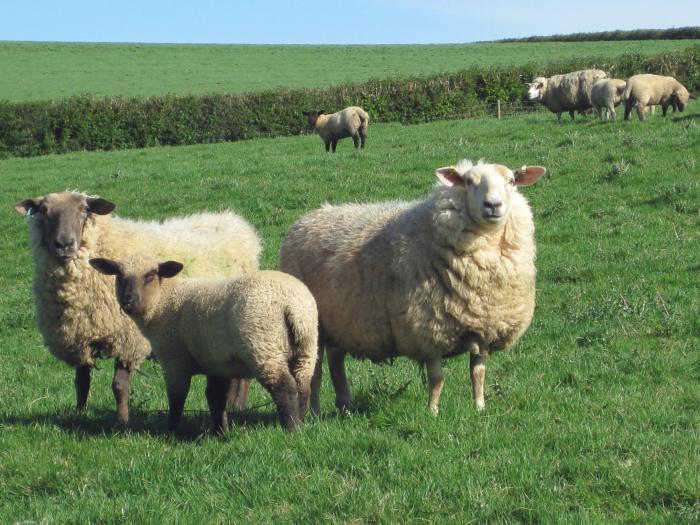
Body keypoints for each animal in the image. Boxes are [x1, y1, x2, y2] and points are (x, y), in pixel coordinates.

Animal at [15, 190, 262, 424]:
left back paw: (238, 406)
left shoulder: (128, 340)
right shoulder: (80, 336)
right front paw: (79, 413)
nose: (64, 244)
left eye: (84, 210)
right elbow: (81, 382)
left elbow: (119, 386)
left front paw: (123, 422)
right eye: (43, 211)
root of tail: (236, 223)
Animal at [89, 256, 318, 432]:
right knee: (303, 387)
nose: (128, 301)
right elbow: (215, 397)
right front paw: (219, 431)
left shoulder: (175, 359)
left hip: (263, 345)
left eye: (151, 275)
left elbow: (177, 396)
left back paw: (292, 428)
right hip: (306, 348)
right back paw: (301, 421)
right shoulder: (217, 362)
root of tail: (291, 304)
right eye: (119, 275)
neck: (165, 301)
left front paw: (172, 430)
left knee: (285, 387)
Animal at [278, 159, 548, 414]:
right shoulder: (428, 330)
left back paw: (346, 404)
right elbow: (437, 378)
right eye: (469, 182)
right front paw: (432, 412)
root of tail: (307, 218)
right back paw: (314, 411)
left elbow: (478, 372)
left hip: (340, 321)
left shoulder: (484, 326)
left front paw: (479, 408)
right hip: (312, 323)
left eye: (511, 180)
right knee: (314, 371)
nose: (493, 205)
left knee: (336, 360)